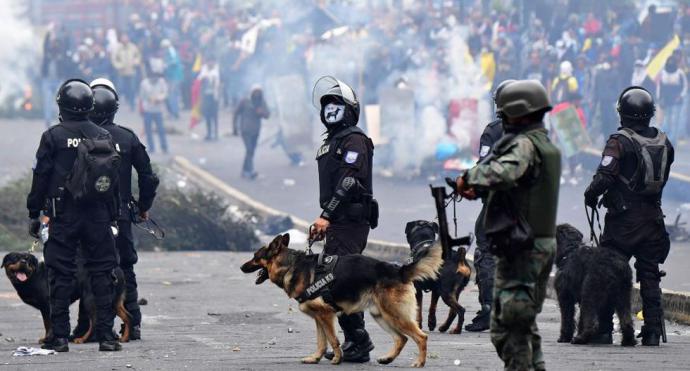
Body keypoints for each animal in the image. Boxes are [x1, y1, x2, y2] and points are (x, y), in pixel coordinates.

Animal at [2, 251, 133, 344]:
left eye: (28, 259)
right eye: (15, 258)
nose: (23, 261)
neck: (33, 276)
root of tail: (116, 269)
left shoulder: (47, 306)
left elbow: (48, 323)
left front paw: (48, 339)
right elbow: (47, 323)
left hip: (89, 299)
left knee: (94, 321)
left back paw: (83, 339)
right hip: (115, 301)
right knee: (127, 316)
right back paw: (125, 338)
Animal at [239, 234, 438, 368]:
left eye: (255, 256)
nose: (241, 267)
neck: (291, 266)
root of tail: (400, 271)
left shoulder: (326, 315)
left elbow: (333, 339)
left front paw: (337, 359)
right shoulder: (318, 317)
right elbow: (321, 341)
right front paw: (315, 358)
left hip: (395, 315)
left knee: (421, 336)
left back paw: (419, 362)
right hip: (382, 316)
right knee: (401, 338)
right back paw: (387, 358)